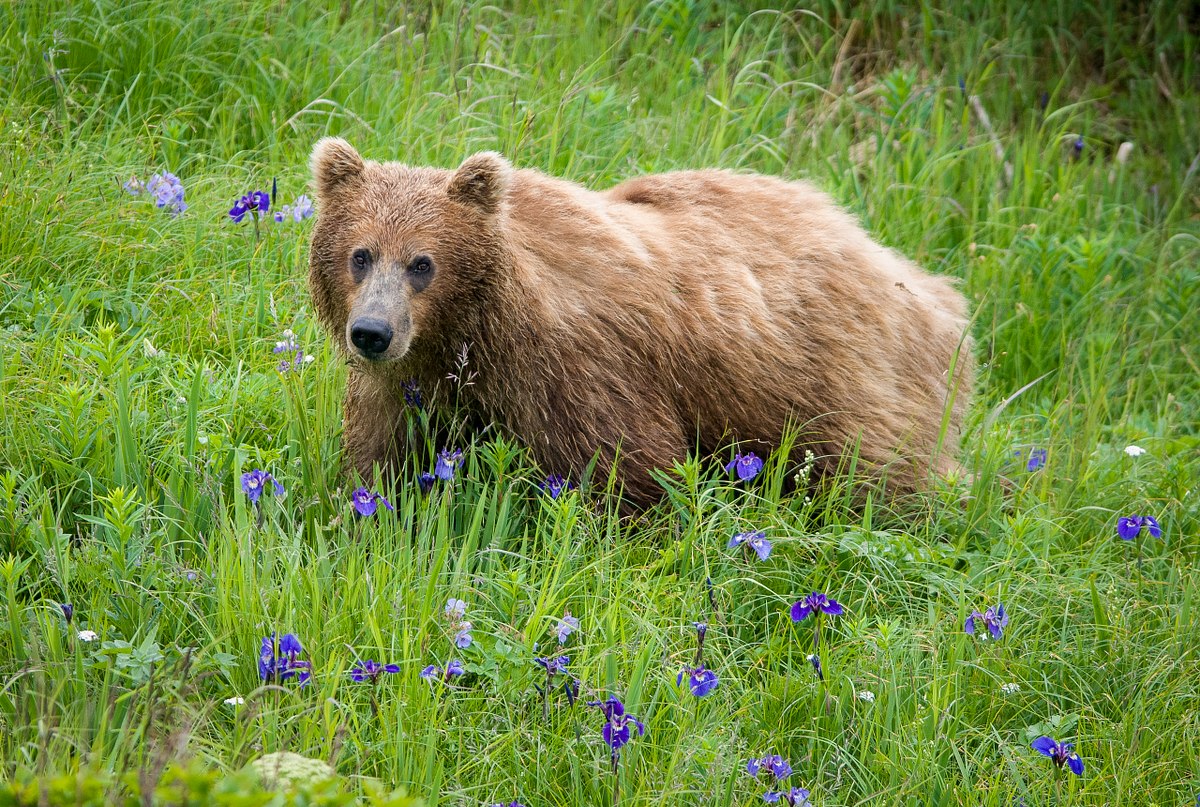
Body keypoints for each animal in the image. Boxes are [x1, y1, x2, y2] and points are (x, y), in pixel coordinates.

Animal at [307, 138, 973, 510]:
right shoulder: (410, 381)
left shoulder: (579, 369)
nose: (372, 332)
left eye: (422, 263)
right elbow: (382, 457)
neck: (473, 329)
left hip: (843, 381)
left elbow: (630, 469)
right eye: (360, 254)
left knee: (877, 474)